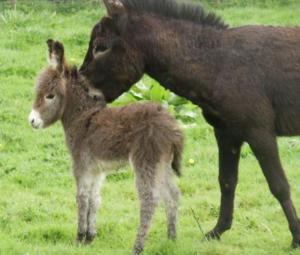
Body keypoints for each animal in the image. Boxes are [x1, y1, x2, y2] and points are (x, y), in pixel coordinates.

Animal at [28, 38, 183, 254]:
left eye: (50, 96)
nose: (32, 121)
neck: (82, 117)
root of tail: (172, 126)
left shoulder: (81, 165)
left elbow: (82, 198)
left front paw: (78, 238)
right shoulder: (97, 170)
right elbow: (95, 200)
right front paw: (90, 237)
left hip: (145, 162)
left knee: (150, 200)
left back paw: (138, 246)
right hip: (163, 163)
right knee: (172, 195)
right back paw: (171, 240)